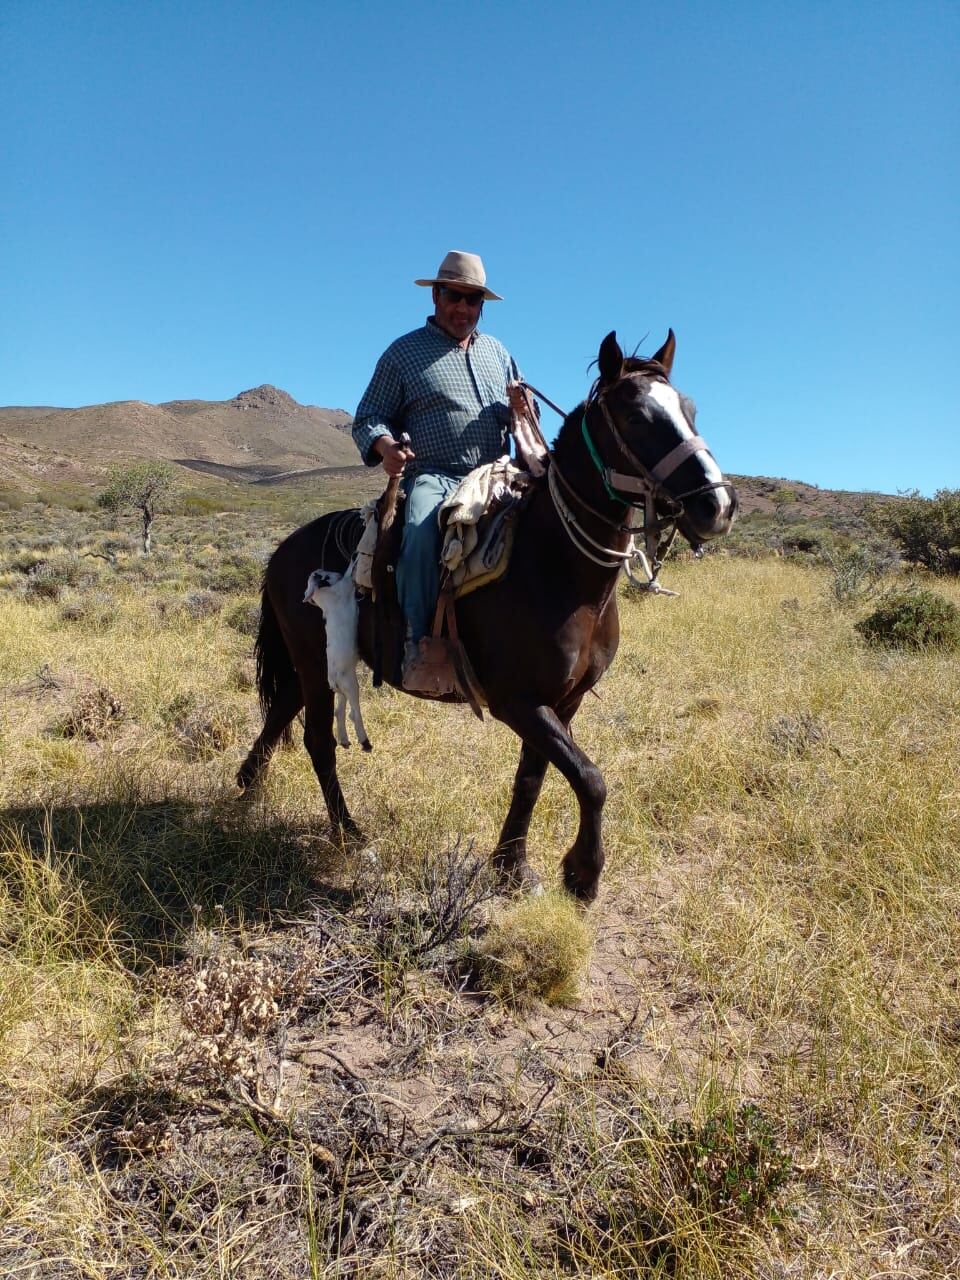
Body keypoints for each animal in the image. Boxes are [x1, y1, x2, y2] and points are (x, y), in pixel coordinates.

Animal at [239, 335, 737, 906]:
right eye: (635, 416)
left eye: (691, 410)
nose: (719, 506)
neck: (554, 565)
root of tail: (282, 550)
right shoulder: (514, 700)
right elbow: (590, 778)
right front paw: (583, 874)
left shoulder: (563, 701)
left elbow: (534, 777)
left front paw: (512, 867)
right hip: (316, 663)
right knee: (318, 742)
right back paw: (349, 834)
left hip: (311, 664)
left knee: (281, 711)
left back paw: (247, 790)